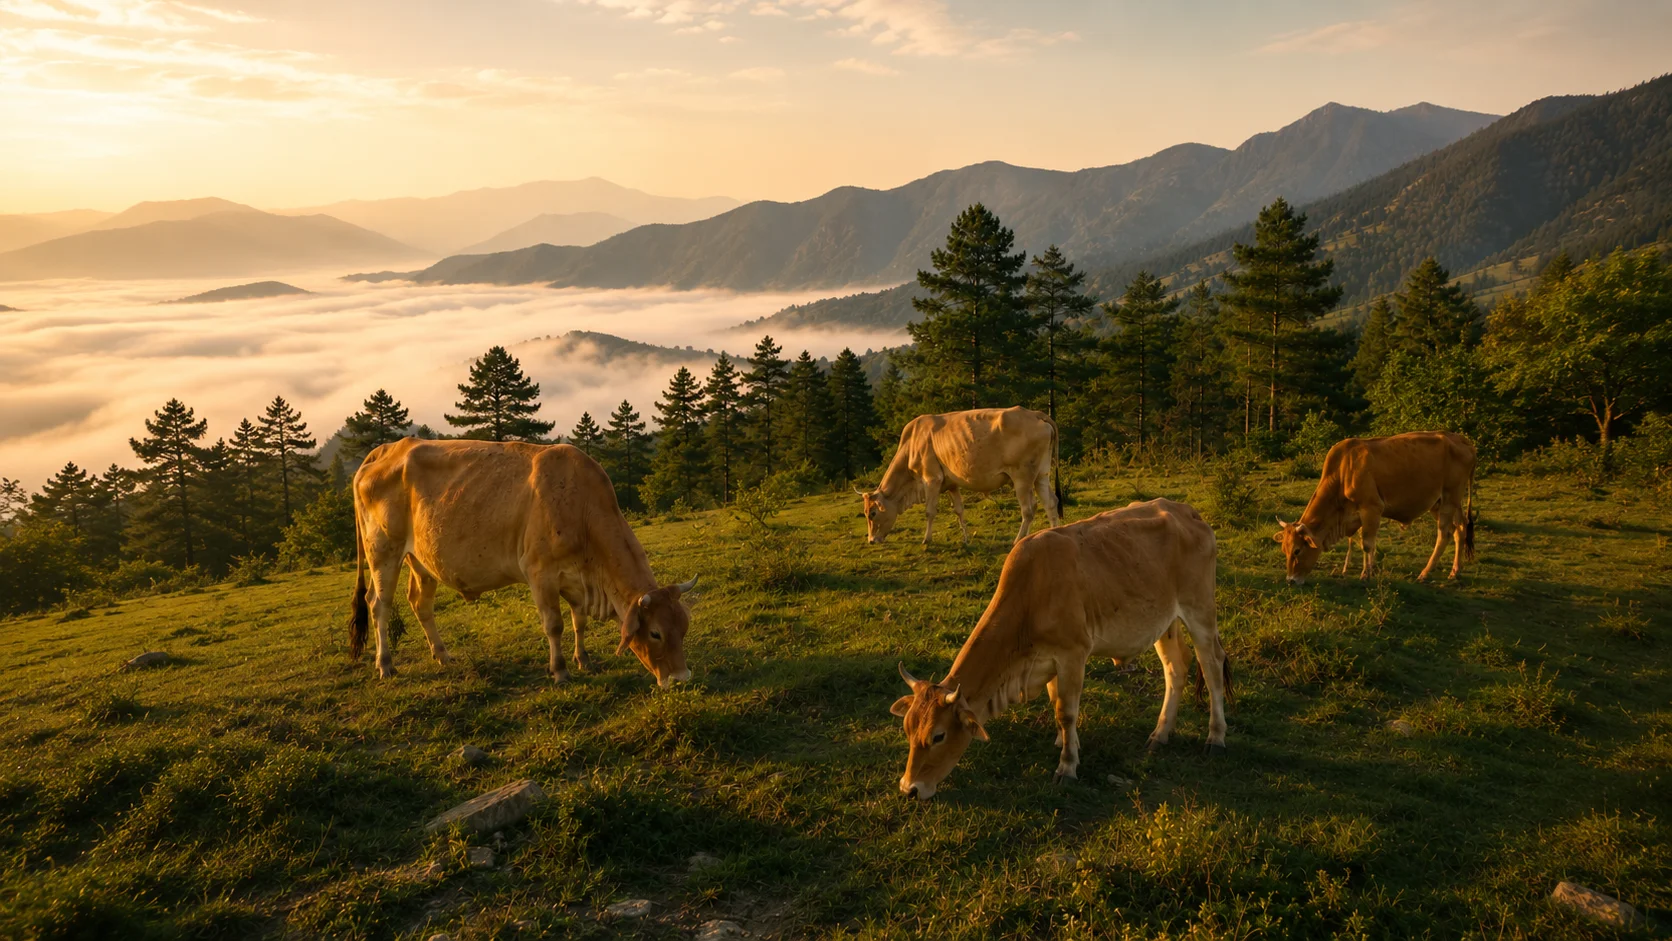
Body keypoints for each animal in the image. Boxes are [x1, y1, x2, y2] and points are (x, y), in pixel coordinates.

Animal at [346, 438, 698, 687]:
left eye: (683, 627)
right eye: (655, 633)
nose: (681, 679)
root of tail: (385, 449)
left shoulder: (576, 579)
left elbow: (579, 621)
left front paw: (583, 659)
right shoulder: (540, 573)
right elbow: (554, 625)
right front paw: (560, 671)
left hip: (421, 558)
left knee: (420, 603)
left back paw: (443, 655)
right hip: (384, 551)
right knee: (378, 605)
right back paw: (386, 664)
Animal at [859, 407, 1060, 546]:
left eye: (872, 513)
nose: (871, 540)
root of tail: (1034, 413)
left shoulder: (931, 479)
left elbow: (930, 511)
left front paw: (927, 539)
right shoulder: (951, 484)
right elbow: (959, 510)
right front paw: (966, 539)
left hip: (1022, 477)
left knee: (1029, 509)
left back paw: (1017, 540)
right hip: (1041, 475)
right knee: (1050, 502)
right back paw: (1055, 533)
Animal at [889, 498, 1228, 800]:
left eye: (938, 736)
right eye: (907, 729)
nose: (909, 788)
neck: (1029, 595)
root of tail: (1187, 511)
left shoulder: (1073, 655)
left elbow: (1066, 712)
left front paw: (1067, 766)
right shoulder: (1048, 660)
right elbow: (1056, 706)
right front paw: (1065, 742)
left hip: (1200, 610)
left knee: (1212, 667)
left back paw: (1216, 736)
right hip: (1164, 622)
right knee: (1176, 669)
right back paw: (1160, 734)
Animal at [1274, 431, 1476, 585]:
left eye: (1297, 551)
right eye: (1284, 550)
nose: (1290, 580)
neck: (1343, 471)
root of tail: (1461, 439)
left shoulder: (1371, 508)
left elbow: (1367, 544)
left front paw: (1366, 574)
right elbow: (1360, 543)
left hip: (1450, 498)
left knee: (1445, 534)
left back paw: (1425, 573)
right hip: (1441, 502)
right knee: (1460, 529)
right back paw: (1455, 571)